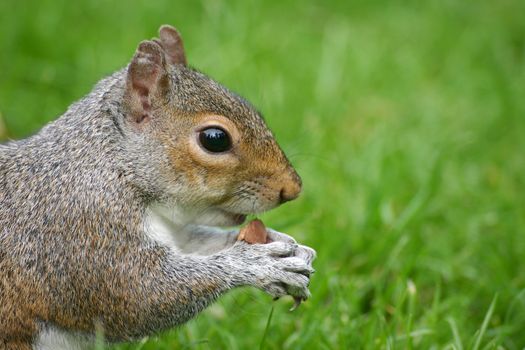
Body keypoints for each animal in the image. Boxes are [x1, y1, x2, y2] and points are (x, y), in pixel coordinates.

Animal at [0, 25, 316, 350]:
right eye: (215, 139)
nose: (292, 189)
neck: (116, 168)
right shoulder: (86, 230)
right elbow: (142, 294)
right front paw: (256, 263)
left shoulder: (172, 230)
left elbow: (198, 243)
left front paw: (288, 246)